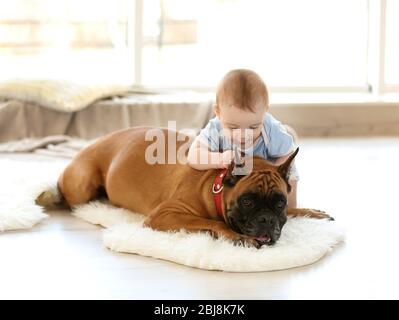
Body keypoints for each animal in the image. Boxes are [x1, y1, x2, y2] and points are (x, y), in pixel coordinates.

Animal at [36, 127, 332, 248]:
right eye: (247, 201)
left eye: (279, 203)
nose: (266, 220)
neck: (214, 187)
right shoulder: (165, 215)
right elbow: (213, 223)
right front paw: (237, 237)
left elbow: (296, 210)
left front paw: (310, 212)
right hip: (82, 184)